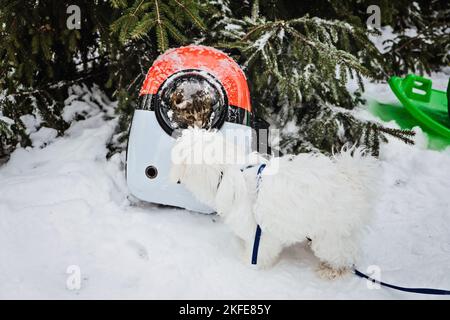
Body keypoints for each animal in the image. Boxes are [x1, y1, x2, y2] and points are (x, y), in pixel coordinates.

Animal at [171, 127, 378, 278]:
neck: (230, 170)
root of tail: (352, 178)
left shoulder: (261, 234)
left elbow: (260, 253)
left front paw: (249, 266)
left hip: (331, 235)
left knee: (343, 255)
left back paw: (331, 270)